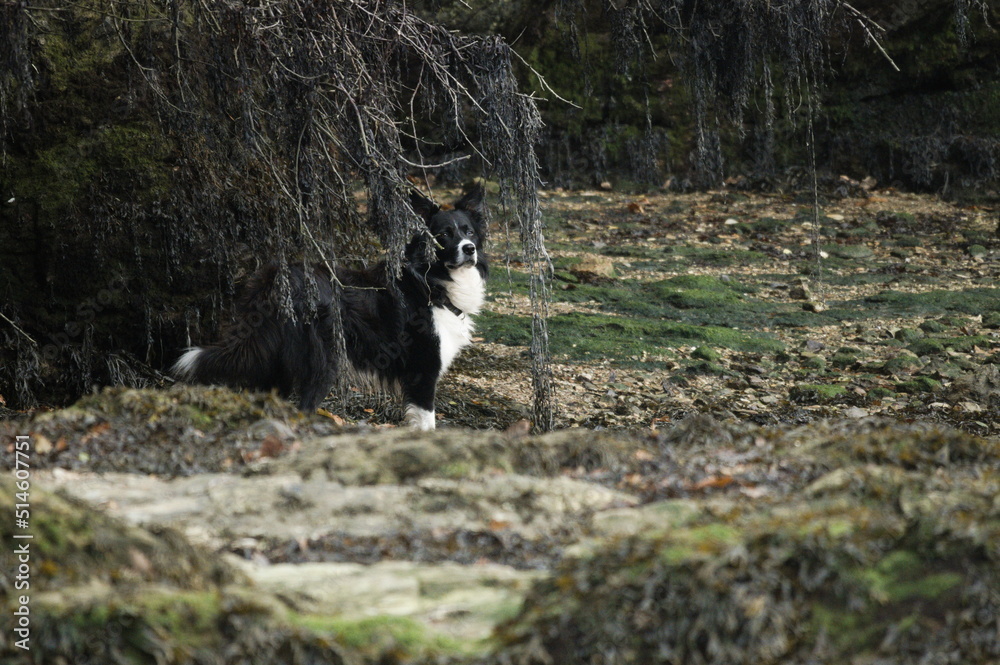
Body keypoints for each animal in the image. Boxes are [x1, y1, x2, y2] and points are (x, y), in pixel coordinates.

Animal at [174, 184, 490, 428]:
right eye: (443, 235)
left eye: (469, 232)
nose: (469, 249)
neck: (430, 282)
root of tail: (276, 280)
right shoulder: (422, 373)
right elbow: (427, 424)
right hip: (322, 363)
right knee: (303, 408)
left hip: (280, 365)